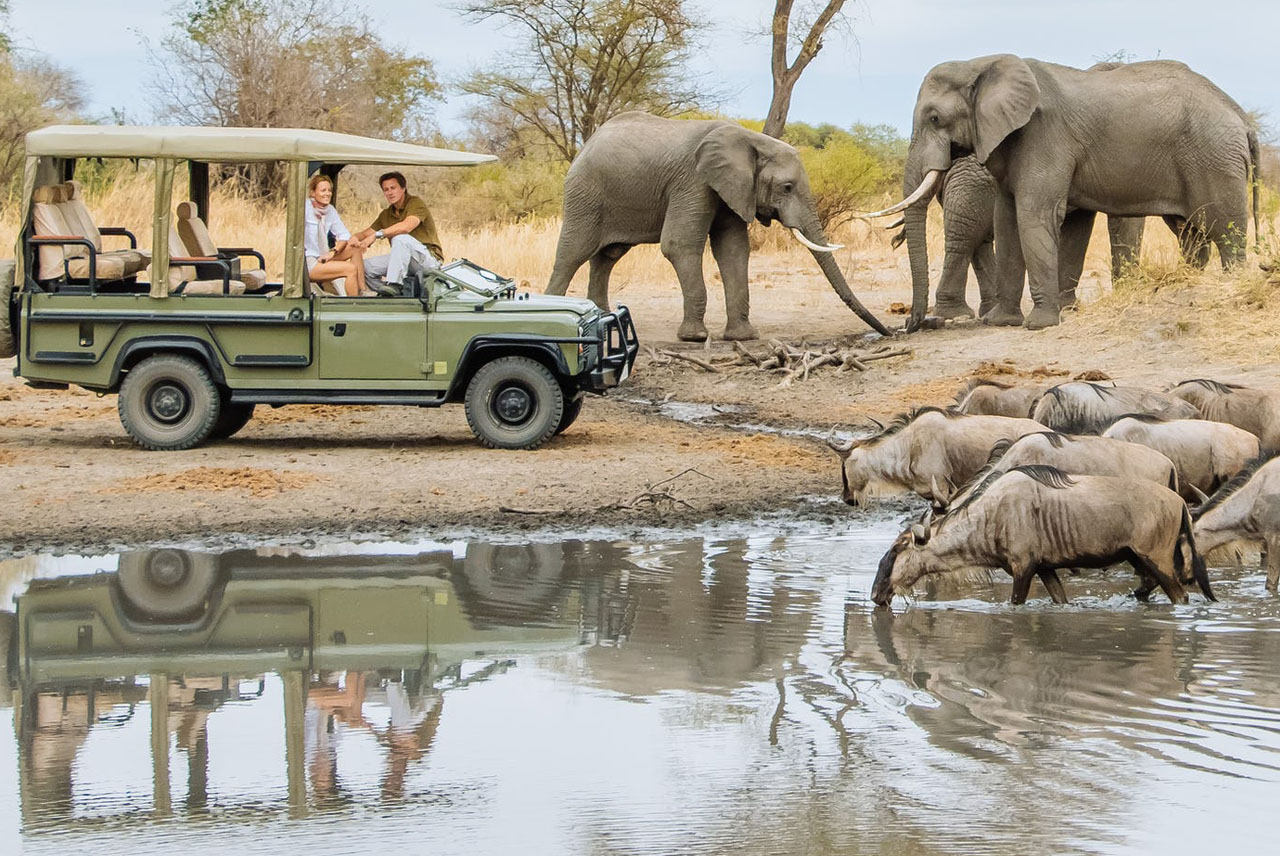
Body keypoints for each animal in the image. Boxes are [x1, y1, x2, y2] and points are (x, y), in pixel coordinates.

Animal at [542, 111, 890, 340]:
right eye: (788, 187)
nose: (887, 332)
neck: (751, 141)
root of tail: (587, 143)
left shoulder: (733, 188)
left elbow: (733, 248)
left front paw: (742, 337)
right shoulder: (694, 181)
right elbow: (679, 244)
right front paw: (695, 337)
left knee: (607, 256)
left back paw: (603, 321)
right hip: (585, 193)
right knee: (573, 253)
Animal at [890, 155, 1152, 330]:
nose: (910, 323)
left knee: (974, 238)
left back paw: (982, 312)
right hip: (973, 183)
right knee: (965, 235)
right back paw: (958, 315)